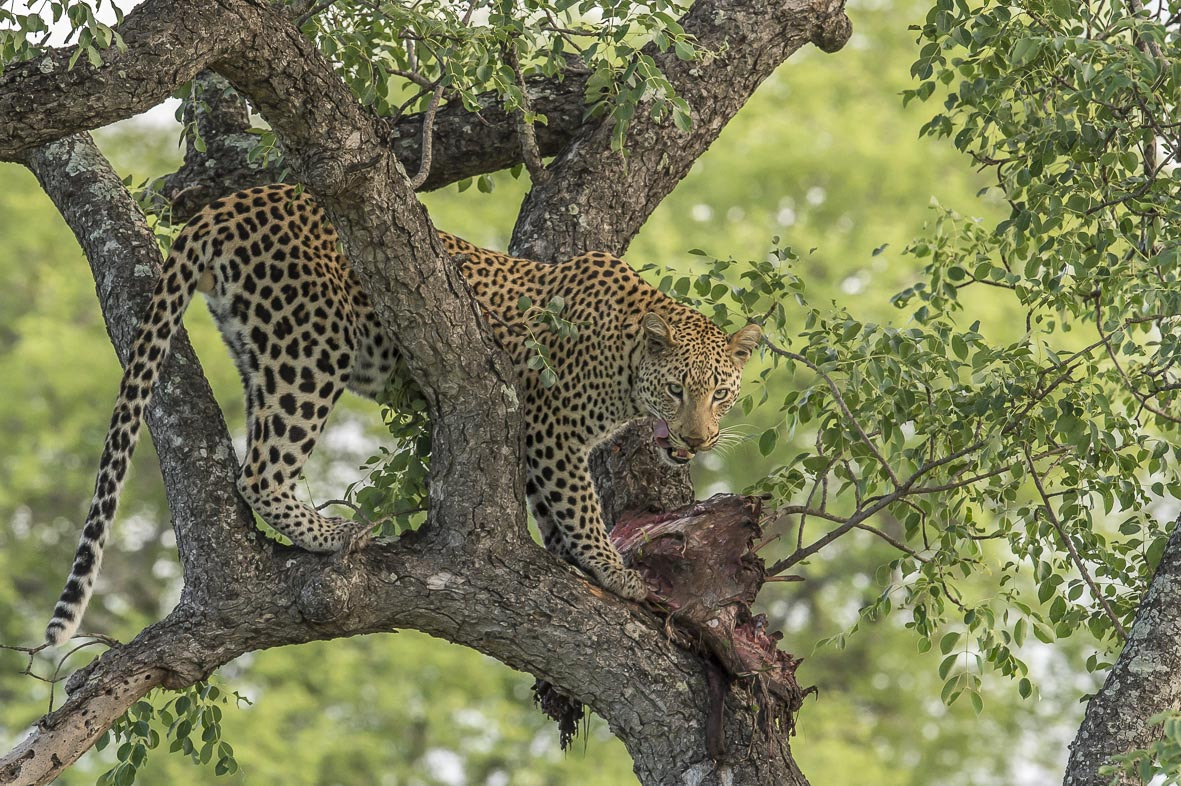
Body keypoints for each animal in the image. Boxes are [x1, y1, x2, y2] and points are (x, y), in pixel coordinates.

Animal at [45, 183, 761, 645]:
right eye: (679, 391)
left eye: (721, 395)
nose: (698, 439)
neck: (625, 357)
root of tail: (240, 198)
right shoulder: (550, 427)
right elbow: (579, 505)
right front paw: (614, 572)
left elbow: (552, 507)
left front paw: (573, 561)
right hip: (311, 349)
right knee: (261, 473)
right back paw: (334, 535)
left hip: (261, 351)